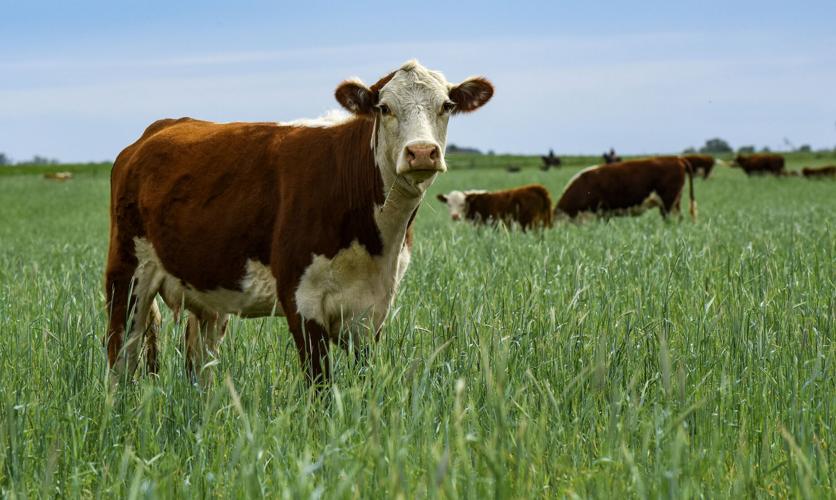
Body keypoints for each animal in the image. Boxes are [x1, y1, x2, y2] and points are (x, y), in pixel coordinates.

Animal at [105, 60, 494, 385]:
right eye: (384, 108)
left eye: (446, 105)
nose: (422, 152)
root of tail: (156, 132)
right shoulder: (301, 299)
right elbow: (319, 384)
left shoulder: (373, 308)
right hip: (128, 271)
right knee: (121, 355)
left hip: (206, 291)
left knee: (199, 362)